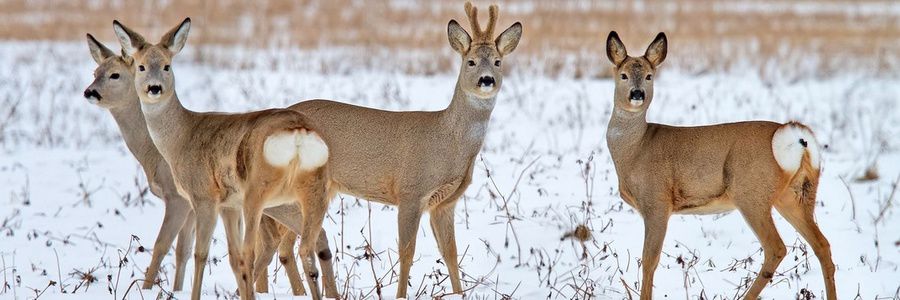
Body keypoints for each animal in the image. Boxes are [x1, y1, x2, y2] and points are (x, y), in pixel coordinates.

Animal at [288, 1, 524, 298]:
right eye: (470, 61)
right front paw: (401, 294)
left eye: (497, 61)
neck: (449, 142)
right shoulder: (411, 191)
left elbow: (450, 253)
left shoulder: (446, 202)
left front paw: (459, 293)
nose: (486, 80)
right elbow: (407, 252)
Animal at [604, 31, 836, 298]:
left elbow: (649, 261)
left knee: (776, 248)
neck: (635, 149)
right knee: (822, 244)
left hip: (751, 193)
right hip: (796, 194)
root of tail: (795, 136)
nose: (637, 94)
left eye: (649, 76)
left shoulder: (657, 202)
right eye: (623, 75)